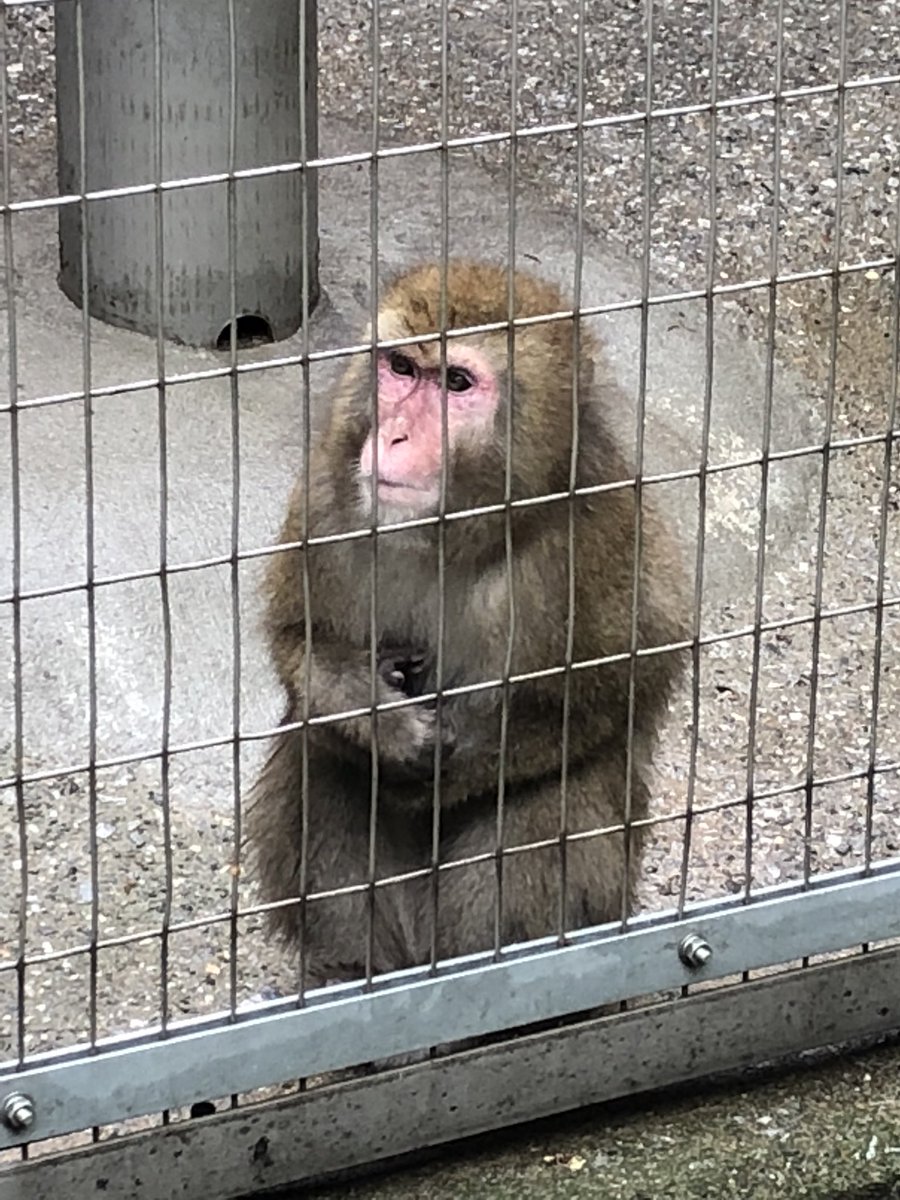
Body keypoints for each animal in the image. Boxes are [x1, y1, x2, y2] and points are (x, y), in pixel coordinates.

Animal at [247, 262, 691, 984]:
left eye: (456, 383)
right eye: (401, 367)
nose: (394, 436)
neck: (453, 538)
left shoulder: (595, 535)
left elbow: (621, 683)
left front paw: (445, 767)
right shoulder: (327, 498)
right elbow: (299, 641)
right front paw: (379, 718)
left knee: (548, 802)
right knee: (323, 759)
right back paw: (353, 972)